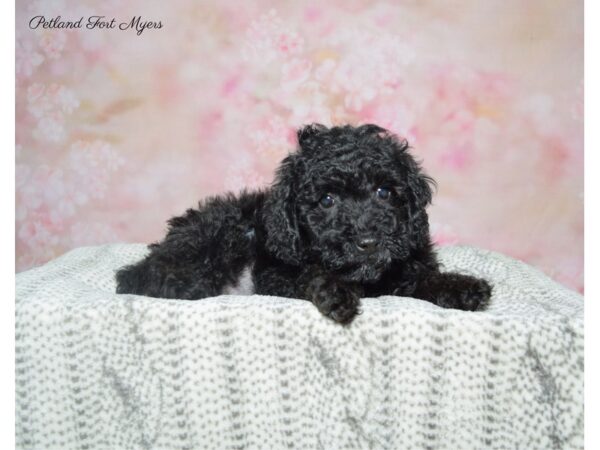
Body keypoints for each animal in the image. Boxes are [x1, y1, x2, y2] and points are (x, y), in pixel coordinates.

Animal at [117, 123, 492, 324]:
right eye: (326, 201)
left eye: (384, 192)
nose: (368, 243)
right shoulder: (279, 276)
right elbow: (311, 274)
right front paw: (336, 291)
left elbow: (420, 278)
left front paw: (461, 287)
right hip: (221, 233)